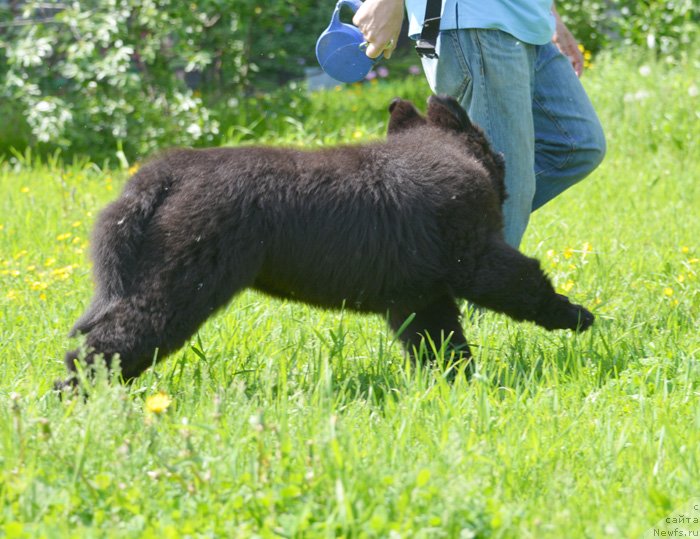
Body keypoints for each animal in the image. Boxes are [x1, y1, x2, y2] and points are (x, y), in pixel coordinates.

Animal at [60, 96, 592, 384]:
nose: (506, 170)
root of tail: (163, 175)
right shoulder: (476, 259)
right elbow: (528, 284)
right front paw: (577, 316)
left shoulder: (420, 295)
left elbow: (441, 345)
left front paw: (455, 385)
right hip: (176, 286)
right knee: (105, 347)